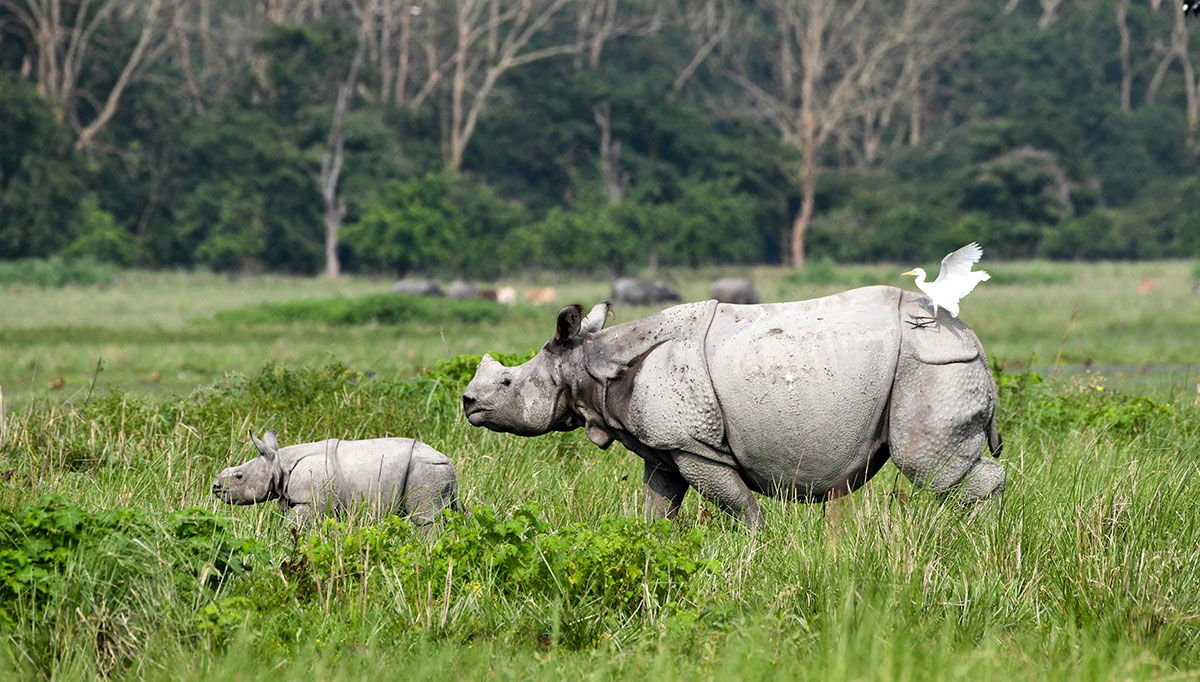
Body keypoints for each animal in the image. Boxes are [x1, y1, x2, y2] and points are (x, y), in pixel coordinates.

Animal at [211, 432, 458, 528]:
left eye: (239, 476)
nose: (215, 487)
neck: (278, 464)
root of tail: (449, 462)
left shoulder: (309, 501)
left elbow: (292, 525)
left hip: (426, 470)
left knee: (425, 519)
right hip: (438, 473)